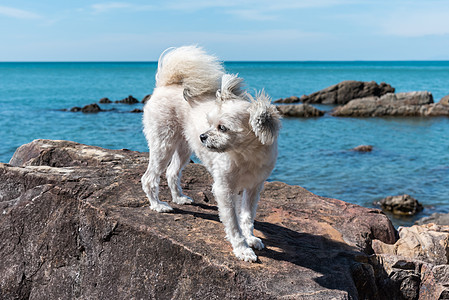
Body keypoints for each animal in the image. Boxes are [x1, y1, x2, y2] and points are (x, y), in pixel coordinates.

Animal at [141, 45, 280, 262]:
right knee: (149, 178)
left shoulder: (253, 188)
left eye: (222, 128)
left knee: (172, 173)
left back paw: (178, 198)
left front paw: (250, 238)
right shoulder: (224, 189)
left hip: (184, 148)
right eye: (209, 122)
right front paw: (241, 248)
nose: (203, 136)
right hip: (163, 144)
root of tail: (164, 85)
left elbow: (247, 217)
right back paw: (157, 205)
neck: (245, 154)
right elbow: (233, 223)